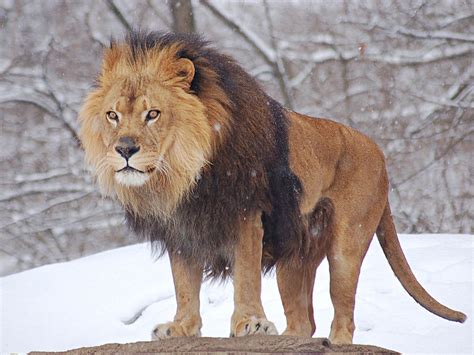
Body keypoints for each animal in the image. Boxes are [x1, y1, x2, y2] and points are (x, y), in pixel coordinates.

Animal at [78, 31, 466, 344]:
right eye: (113, 116)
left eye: (153, 114)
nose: (125, 150)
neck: (184, 174)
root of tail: (380, 154)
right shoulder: (182, 229)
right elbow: (184, 285)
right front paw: (181, 328)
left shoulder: (246, 213)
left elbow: (246, 275)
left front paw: (250, 323)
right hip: (294, 258)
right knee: (304, 321)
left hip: (346, 245)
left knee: (343, 316)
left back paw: (334, 341)